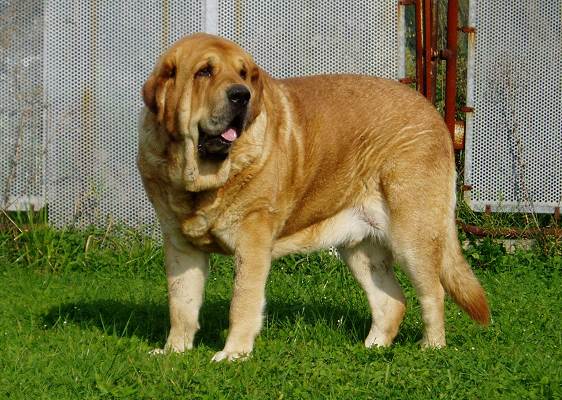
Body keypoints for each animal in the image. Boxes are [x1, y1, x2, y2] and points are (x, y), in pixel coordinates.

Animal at [136, 32, 486, 360]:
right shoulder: (181, 247)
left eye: (244, 74)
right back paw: (371, 348)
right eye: (204, 72)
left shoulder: (251, 242)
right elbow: (181, 304)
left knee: (433, 293)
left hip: (412, 236)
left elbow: (242, 302)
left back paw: (431, 348)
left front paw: (233, 355)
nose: (241, 94)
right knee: (391, 301)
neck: (200, 179)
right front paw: (173, 352)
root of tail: (433, 113)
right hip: (362, 250)